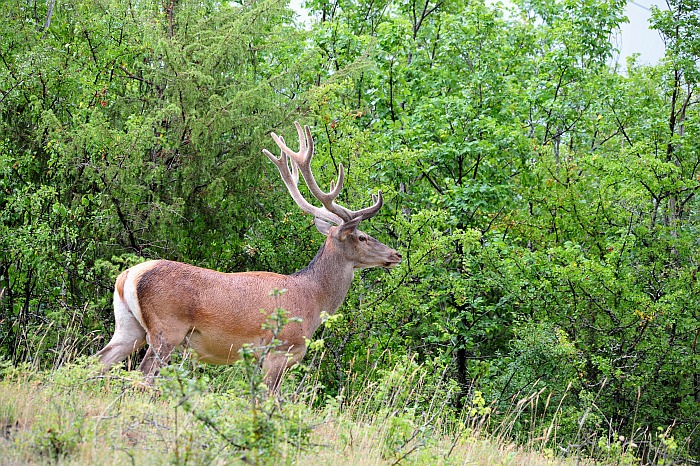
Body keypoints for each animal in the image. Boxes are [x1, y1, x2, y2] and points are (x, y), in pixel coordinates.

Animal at [93, 122, 402, 392]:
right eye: (362, 237)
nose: (396, 254)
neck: (312, 299)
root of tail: (127, 276)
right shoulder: (280, 348)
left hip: (128, 326)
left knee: (98, 361)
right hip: (166, 329)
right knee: (143, 374)